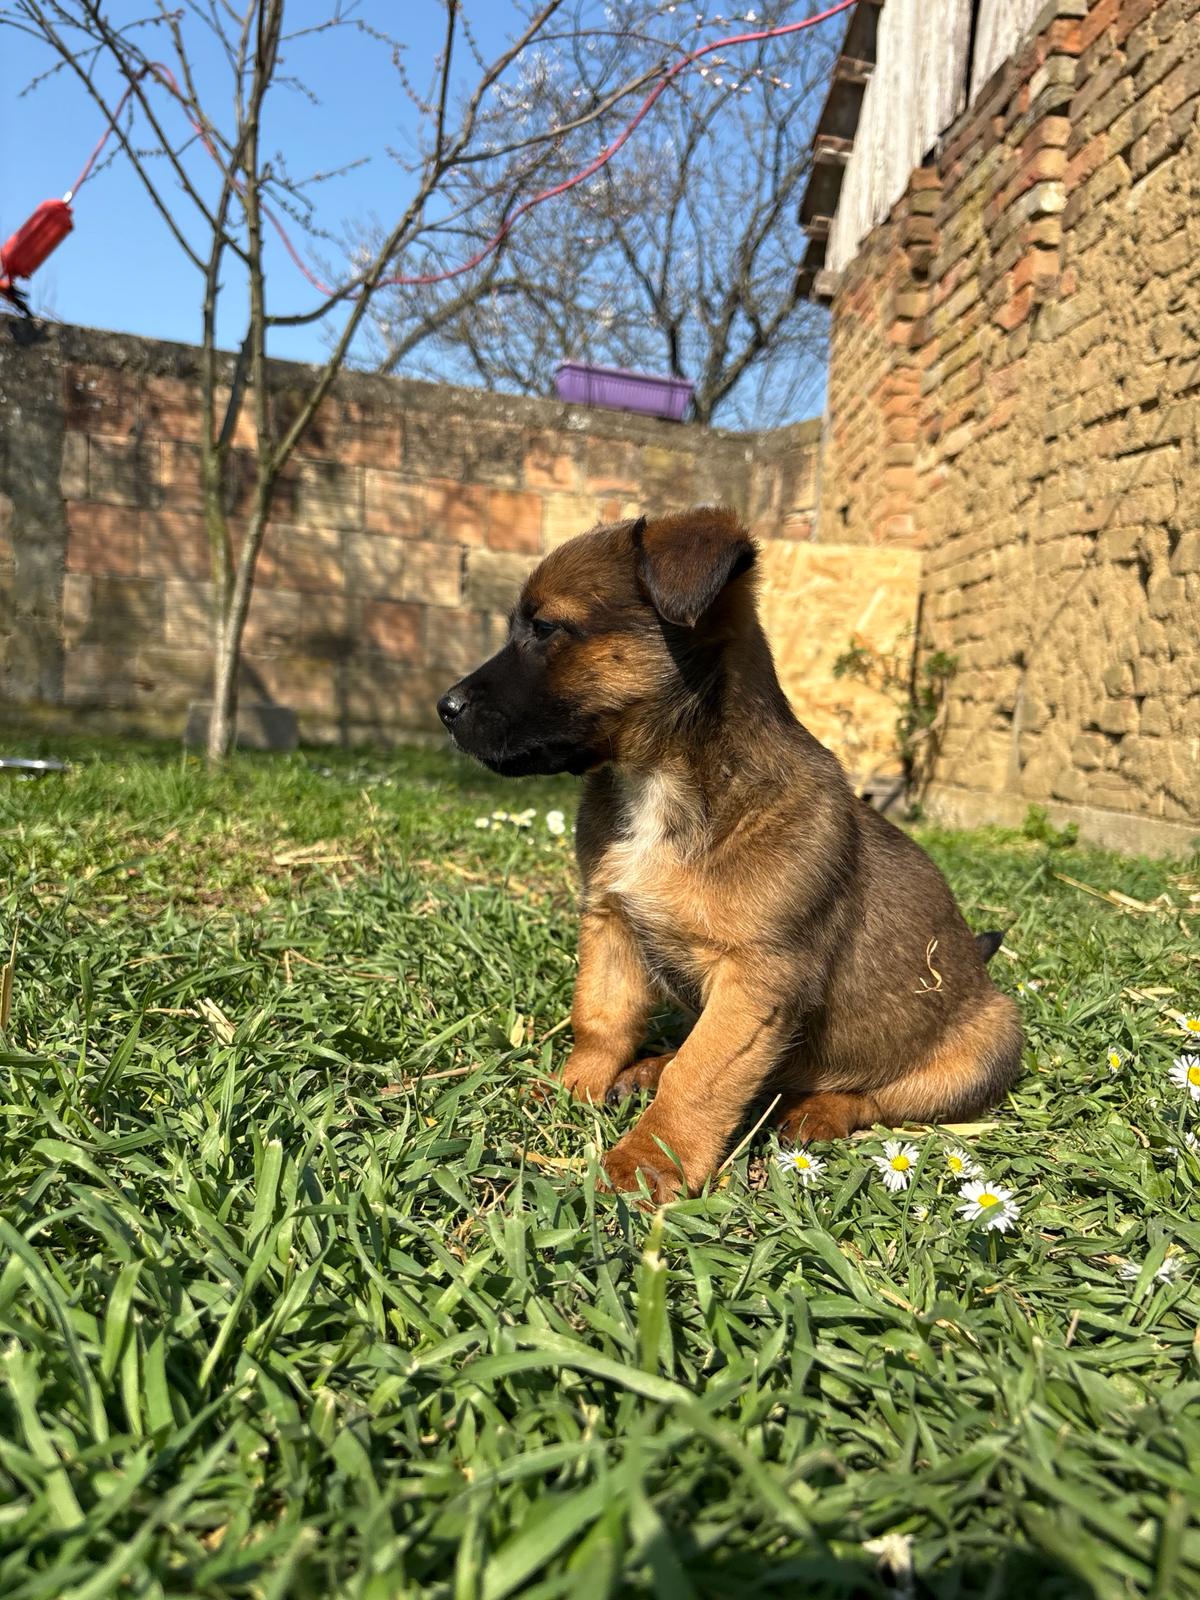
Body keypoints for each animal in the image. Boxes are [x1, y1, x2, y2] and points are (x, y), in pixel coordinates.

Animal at [437, 507, 1022, 1201]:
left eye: (547, 628)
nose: (444, 709)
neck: (661, 784)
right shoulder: (611, 923)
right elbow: (600, 1018)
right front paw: (572, 1088)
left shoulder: (757, 980)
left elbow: (701, 1074)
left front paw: (649, 1161)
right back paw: (648, 1069)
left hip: (988, 1044)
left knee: (877, 1100)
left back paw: (817, 1112)